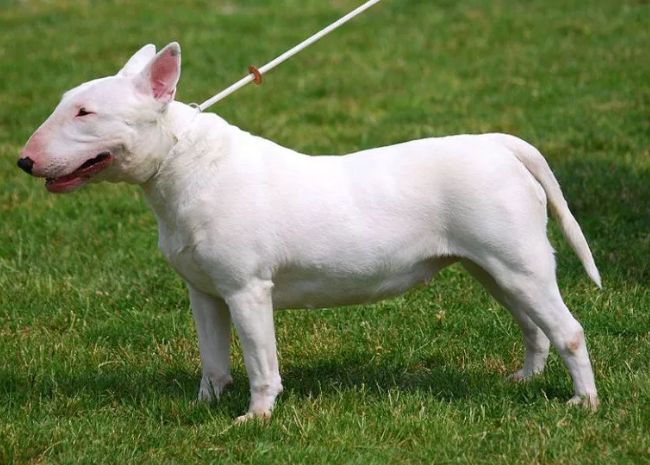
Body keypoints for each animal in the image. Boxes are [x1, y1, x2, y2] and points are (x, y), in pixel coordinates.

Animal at [18, 43, 601, 421]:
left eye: (85, 112)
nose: (24, 161)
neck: (184, 163)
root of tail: (500, 143)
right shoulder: (204, 292)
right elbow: (212, 359)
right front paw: (203, 406)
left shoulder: (247, 290)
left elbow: (260, 361)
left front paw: (255, 418)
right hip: (492, 268)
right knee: (533, 327)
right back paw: (524, 380)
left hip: (519, 263)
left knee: (568, 330)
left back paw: (584, 404)